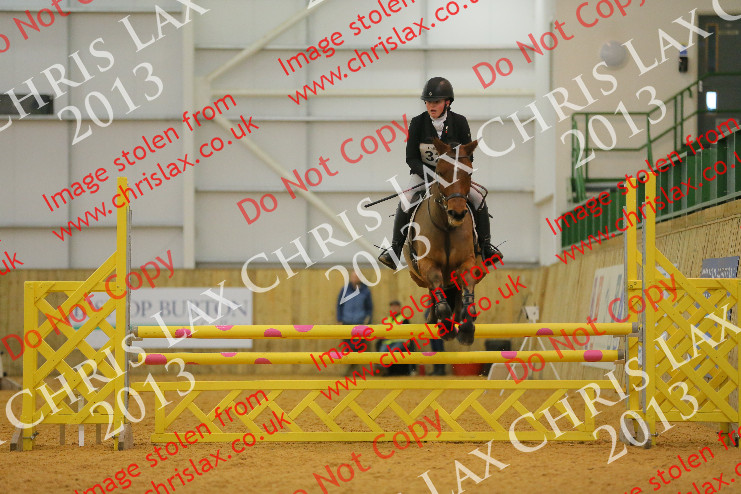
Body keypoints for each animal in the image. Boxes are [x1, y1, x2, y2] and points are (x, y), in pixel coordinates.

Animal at [403, 138, 489, 345]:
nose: (456, 213)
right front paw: (447, 328)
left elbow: (467, 282)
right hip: (418, 276)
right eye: (440, 172)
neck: (447, 227)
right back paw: (436, 320)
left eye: (469, 172)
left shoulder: (467, 261)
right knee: (434, 290)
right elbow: (436, 285)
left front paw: (466, 329)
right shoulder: (427, 263)